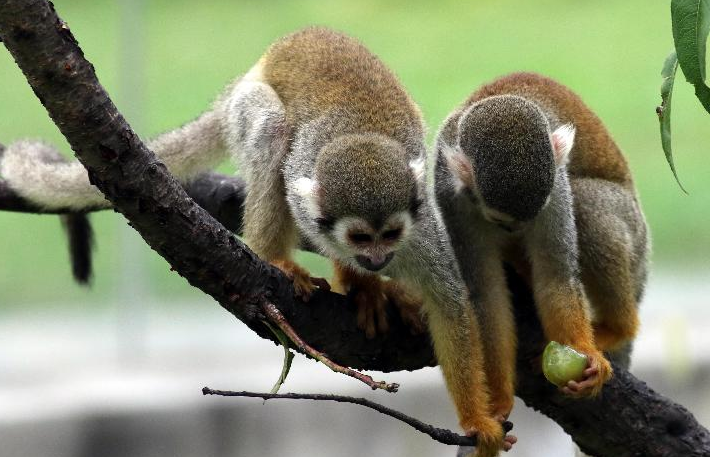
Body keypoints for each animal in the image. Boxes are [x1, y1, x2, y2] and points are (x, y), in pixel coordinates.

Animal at [0, 27, 512, 452]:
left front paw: (477, 419)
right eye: (361, 236)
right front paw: (358, 283)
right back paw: (278, 259)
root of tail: (255, 67)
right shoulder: (311, 207)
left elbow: (450, 304)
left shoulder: (421, 231)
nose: (376, 259)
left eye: (390, 233)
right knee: (272, 131)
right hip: (247, 104)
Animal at [434, 72, 652, 424]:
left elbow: (556, 276)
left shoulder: (555, 186)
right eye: (500, 219)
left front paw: (585, 353)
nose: (515, 230)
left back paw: (618, 328)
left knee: (585, 202)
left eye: (533, 213)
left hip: (635, 237)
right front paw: (499, 396)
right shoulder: (450, 194)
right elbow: (487, 296)